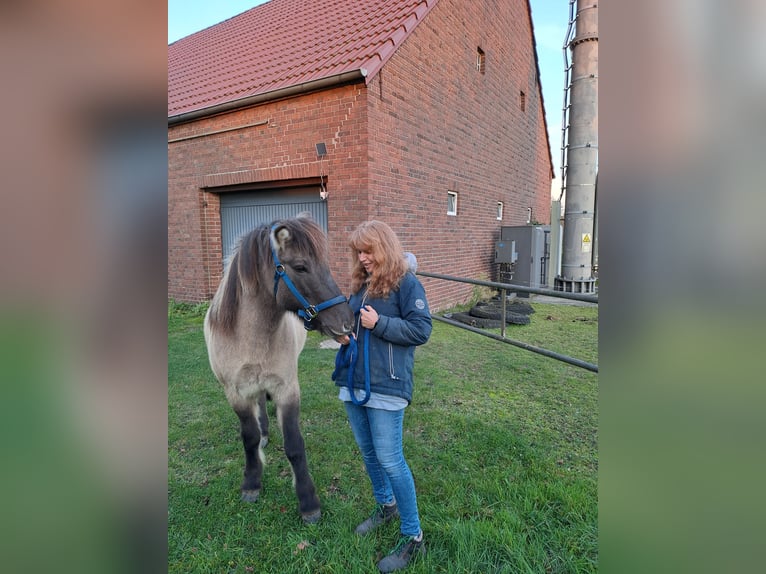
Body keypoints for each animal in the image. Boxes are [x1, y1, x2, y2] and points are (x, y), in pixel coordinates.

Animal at [207, 214, 356, 524]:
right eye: (300, 266)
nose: (347, 322)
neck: (250, 337)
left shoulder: (287, 389)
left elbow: (295, 445)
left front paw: (308, 502)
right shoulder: (235, 393)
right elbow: (249, 438)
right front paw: (251, 483)